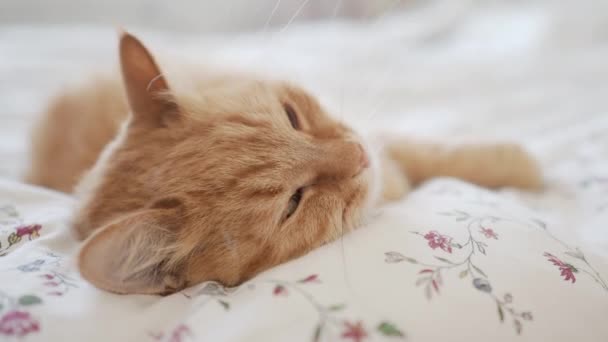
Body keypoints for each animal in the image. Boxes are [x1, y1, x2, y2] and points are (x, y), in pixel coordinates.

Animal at [27, 32, 540, 296]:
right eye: (293, 202)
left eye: (292, 116)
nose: (357, 155)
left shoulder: (380, 137)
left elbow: (433, 151)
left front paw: (519, 165)